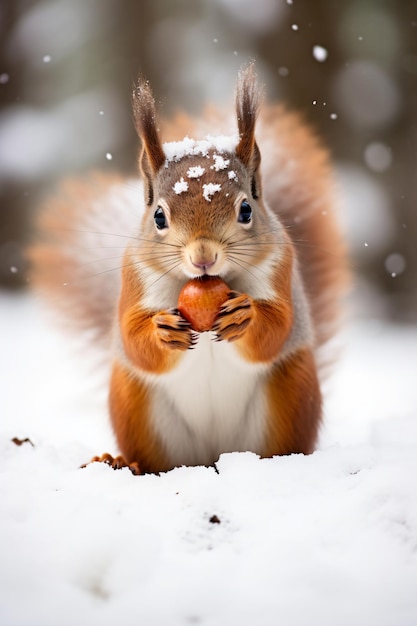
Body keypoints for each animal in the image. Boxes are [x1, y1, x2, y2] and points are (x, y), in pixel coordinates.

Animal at [29, 64, 346, 472]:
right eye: (159, 216)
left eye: (246, 210)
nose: (203, 257)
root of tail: (211, 457)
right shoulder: (133, 276)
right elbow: (132, 334)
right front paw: (161, 330)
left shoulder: (281, 264)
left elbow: (278, 324)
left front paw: (245, 316)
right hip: (133, 401)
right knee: (150, 458)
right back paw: (118, 461)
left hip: (293, 387)